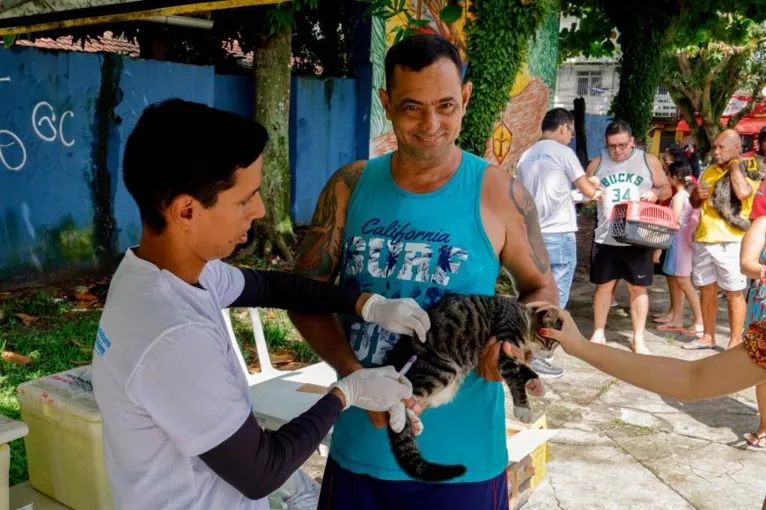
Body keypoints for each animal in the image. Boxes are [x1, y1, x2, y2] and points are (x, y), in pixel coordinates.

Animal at [388, 294, 560, 482]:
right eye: (549, 341)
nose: (550, 355)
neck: (523, 316)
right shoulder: (504, 346)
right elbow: (515, 379)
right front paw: (523, 408)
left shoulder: (511, 354)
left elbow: (523, 368)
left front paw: (535, 384)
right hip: (441, 369)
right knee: (400, 394)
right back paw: (398, 419)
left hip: (447, 388)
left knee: (413, 401)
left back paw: (414, 423)